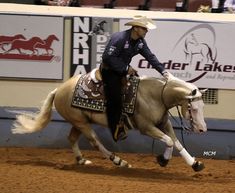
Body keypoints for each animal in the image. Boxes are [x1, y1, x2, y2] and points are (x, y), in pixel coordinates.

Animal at [11, 72, 206, 172]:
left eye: (202, 106)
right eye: (194, 109)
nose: (202, 129)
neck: (156, 95)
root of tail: (58, 90)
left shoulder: (163, 123)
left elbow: (176, 143)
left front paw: (195, 164)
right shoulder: (146, 127)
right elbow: (169, 141)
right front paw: (163, 160)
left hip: (79, 121)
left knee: (72, 138)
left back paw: (82, 160)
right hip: (82, 124)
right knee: (96, 142)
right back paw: (119, 161)